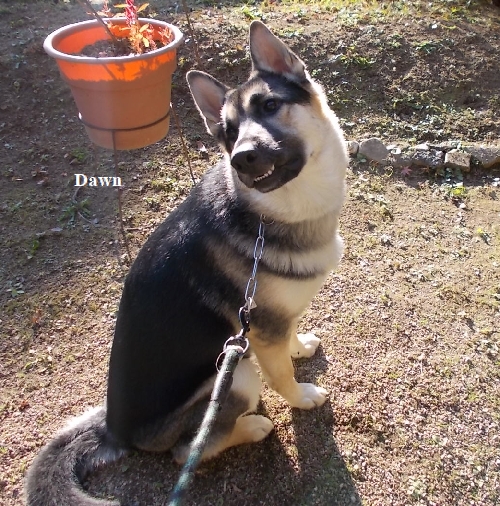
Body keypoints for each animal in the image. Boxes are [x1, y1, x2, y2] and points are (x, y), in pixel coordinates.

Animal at [25, 20, 348, 505]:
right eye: (228, 133)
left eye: (271, 106)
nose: (242, 157)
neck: (271, 213)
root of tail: (115, 429)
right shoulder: (262, 335)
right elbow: (283, 376)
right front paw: (302, 397)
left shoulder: (271, 321)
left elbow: (289, 338)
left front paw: (300, 345)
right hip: (236, 375)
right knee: (187, 450)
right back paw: (253, 426)